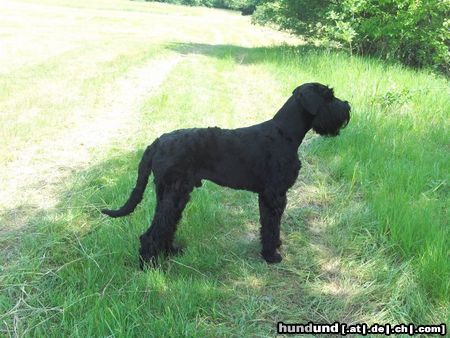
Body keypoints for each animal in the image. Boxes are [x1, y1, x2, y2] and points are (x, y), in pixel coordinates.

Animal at [103, 82, 352, 266]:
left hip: (169, 193)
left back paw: (170, 251)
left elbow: (270, 224)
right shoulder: (274, 194)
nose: (347, 107)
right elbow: (271, 224)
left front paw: (275, 246)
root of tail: (156, 143)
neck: (285, 133)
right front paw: (271, 255)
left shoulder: (270, 196)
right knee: (153, 231)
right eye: (329, 97)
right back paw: (149, 265)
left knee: (165, 223)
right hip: (175, 193)